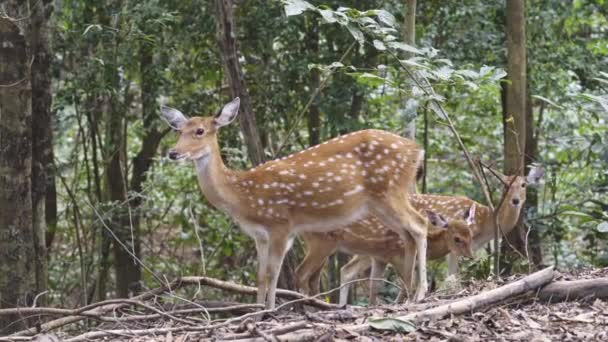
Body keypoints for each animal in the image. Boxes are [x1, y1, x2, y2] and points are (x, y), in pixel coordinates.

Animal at [159, 97, 430, 308]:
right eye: (179, 130)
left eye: (200, 131)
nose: (173, 153)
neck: (242, 196)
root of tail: (418, 150)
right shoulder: (259, 235)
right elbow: (260, 276)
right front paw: (257, 309)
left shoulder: (281, 224)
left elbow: (273, 274)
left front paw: (269, 311)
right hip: (380, 204)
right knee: (407, 234)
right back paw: (406, 295)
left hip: (389, 192)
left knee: (419, 225)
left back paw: (420, 293)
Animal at [296, 204, 478, 306]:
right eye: (457, 238)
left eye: (471, 235)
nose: (471, 257)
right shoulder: (397, 256)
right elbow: (407, 283)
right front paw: (404, 303)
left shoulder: (380, 258)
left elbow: (375, 286)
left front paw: (374, 307)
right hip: (322, 244)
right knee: (302, 272)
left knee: (323, 275)